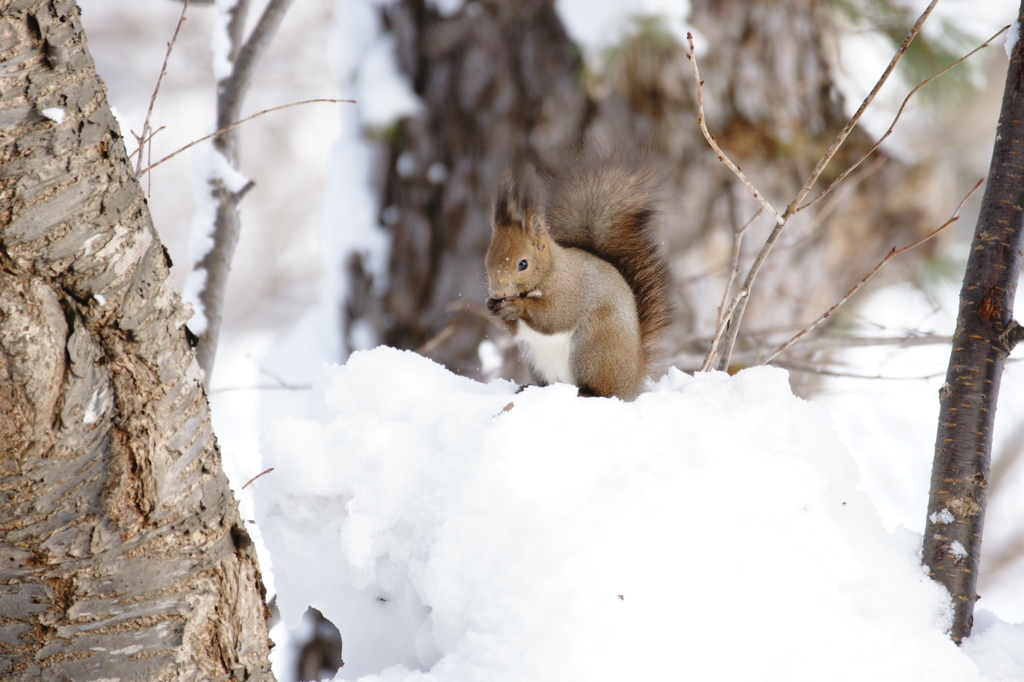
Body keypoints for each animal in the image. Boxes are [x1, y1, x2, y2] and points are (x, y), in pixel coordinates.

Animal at [485, 153, 671, 399]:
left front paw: (517, 307)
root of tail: (634, 380)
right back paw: (531, 387)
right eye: (487, 260)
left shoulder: (571, 289)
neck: (551, 270)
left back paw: (588, 393)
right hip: (534, 358)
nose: (498, 293)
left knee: (604, 390)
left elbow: (555, 315)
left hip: (593, 345)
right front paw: (493, 306)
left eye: (523, 264)